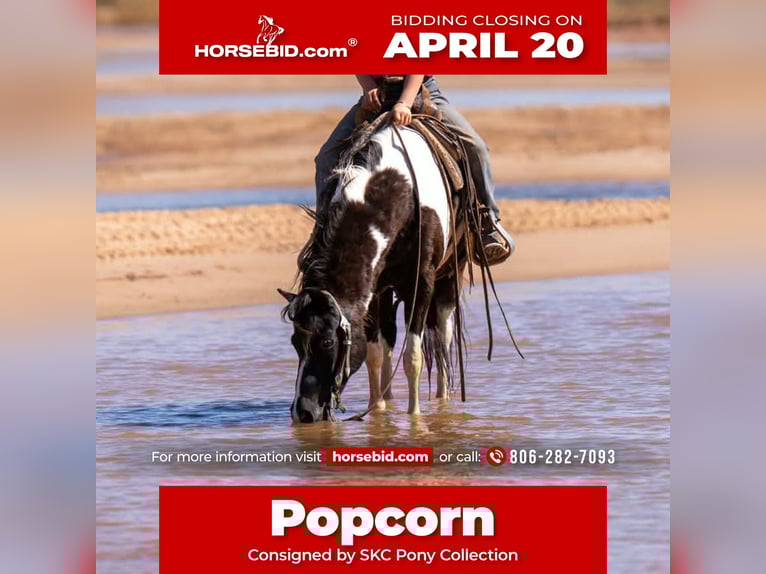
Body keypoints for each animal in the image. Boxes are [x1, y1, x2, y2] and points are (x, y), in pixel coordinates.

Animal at [279, 117, 470, 423]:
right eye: (295, 342)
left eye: (328, 343)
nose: (303, 413)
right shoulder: (374, 288)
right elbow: (375, 351)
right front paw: (378, 410)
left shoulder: (421, 285)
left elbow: (413, 355)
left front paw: (415, 417)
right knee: (390, 337)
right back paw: (389, 398)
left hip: (451, 274)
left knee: (443, 333)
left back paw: (443, 401)